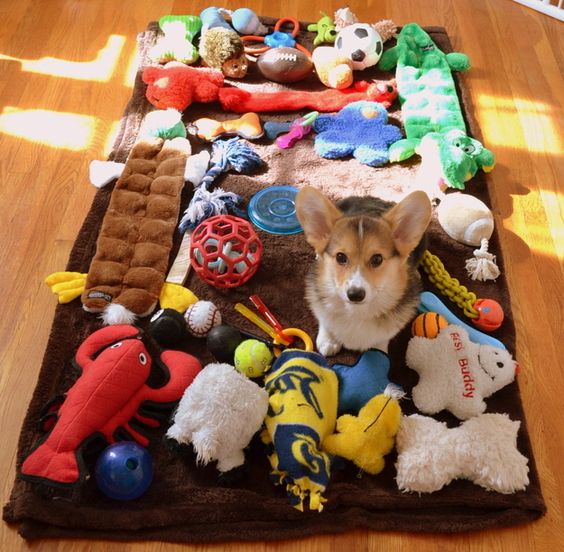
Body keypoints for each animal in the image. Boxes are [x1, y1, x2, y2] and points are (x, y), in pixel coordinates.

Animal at [296, 188, 432, 356]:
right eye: (340, 257)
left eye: (377, 259)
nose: (355, 294)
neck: (356, 311)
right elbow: (325, 319)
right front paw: (328, 340)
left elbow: (381, 340)